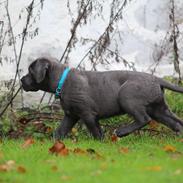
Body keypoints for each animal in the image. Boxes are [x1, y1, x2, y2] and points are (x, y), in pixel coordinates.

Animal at [20, 58, 183, 139]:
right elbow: (59, 132)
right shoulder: (71, 115)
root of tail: (157, 79)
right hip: (159, 109)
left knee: (144, 119)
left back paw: (122, 132)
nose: (21, 80)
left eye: (30, 71)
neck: (62, 80)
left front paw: (99, 143)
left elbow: (95, 131)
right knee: (176, 122)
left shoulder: (87, 114)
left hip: (127, 98)